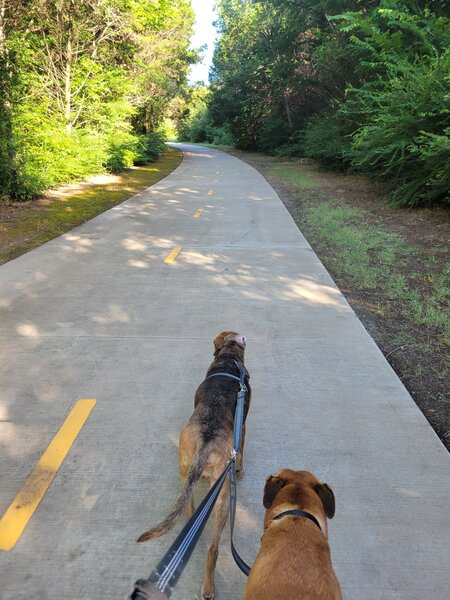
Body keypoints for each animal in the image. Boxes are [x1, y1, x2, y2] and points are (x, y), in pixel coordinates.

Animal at [137, 332, 250, 600]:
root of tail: (206, 442)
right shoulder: (243, 428)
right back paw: (208, 586)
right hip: (223, 498)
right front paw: (241, 470)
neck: (229, 357)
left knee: (190, 515)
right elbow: (242, 450)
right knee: (213, 548)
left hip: (185, 475)